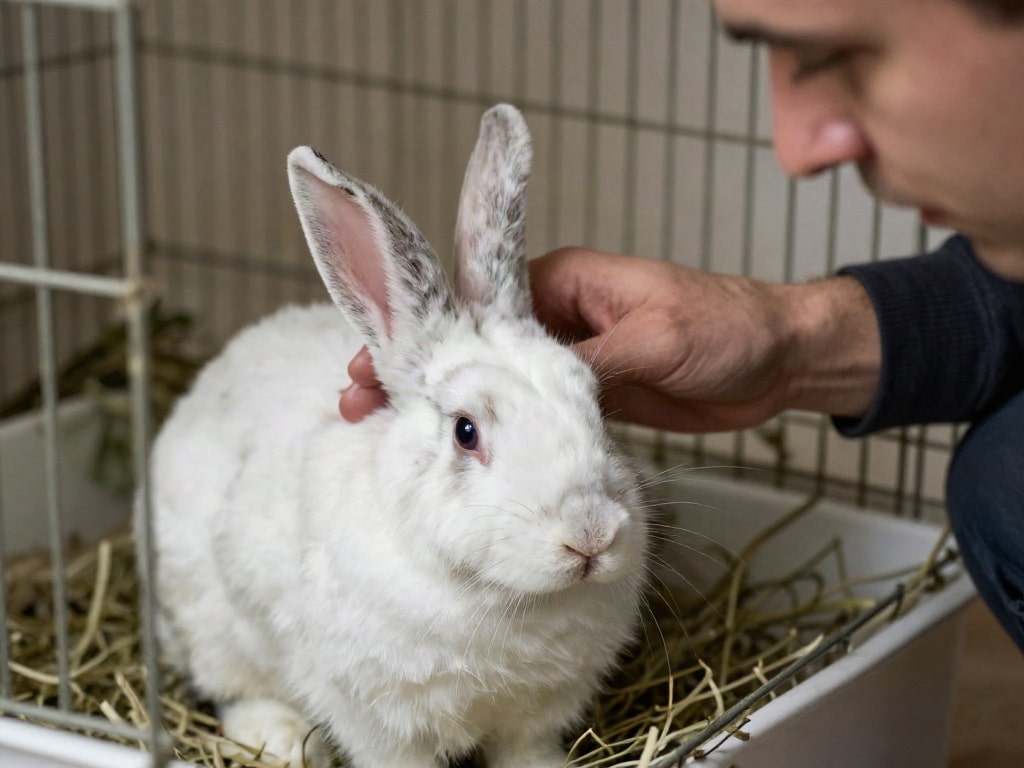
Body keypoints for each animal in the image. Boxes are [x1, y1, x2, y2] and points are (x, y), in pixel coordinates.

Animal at [147, 104, 649, 768]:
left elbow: (528, 749)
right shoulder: (374, 716)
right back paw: (279, 739)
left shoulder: (540, 712)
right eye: (466, 431)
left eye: (593, 401)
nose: (590, 537)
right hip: (208, 622)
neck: (504, 600)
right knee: (232, 687)